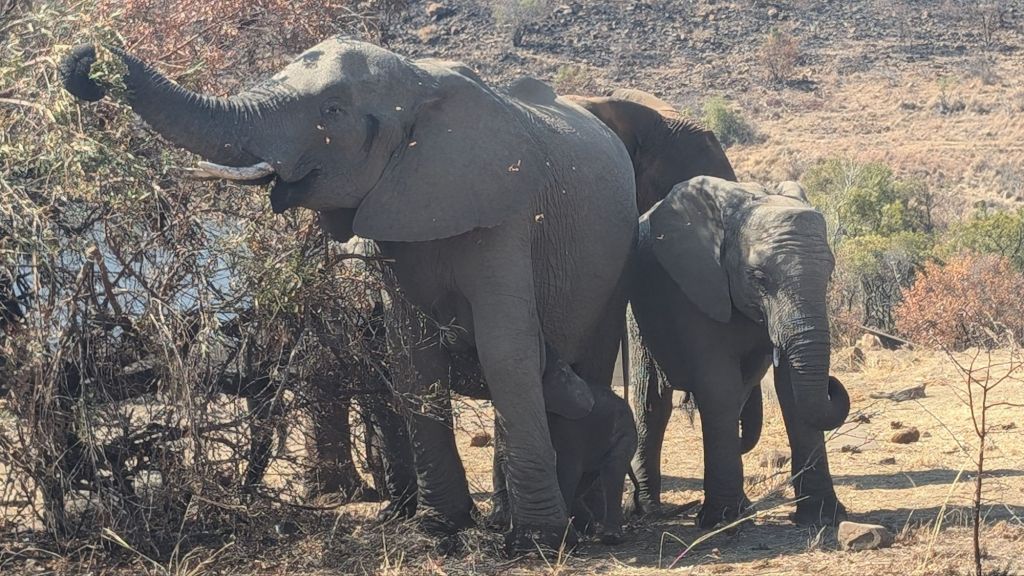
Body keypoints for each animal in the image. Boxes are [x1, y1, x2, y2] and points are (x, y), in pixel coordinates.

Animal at [60, 37, 638, 552]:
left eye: (332, 111)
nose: (87, 59)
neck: (419, 82)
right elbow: (412, 358)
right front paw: (438, 531)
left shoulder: (506, 214)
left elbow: (506, 353)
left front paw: (538, 542)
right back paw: (509, 519)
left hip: (617, 256)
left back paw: (574, 526)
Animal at [630, 176, 851, 528]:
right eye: (759, 278)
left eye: (829, 274)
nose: (833, 383)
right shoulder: (696, 289)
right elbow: (718, 386)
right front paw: (719, 521)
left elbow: (789, 389)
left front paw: (823, 517)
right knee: (652, 401)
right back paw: (650, 511)